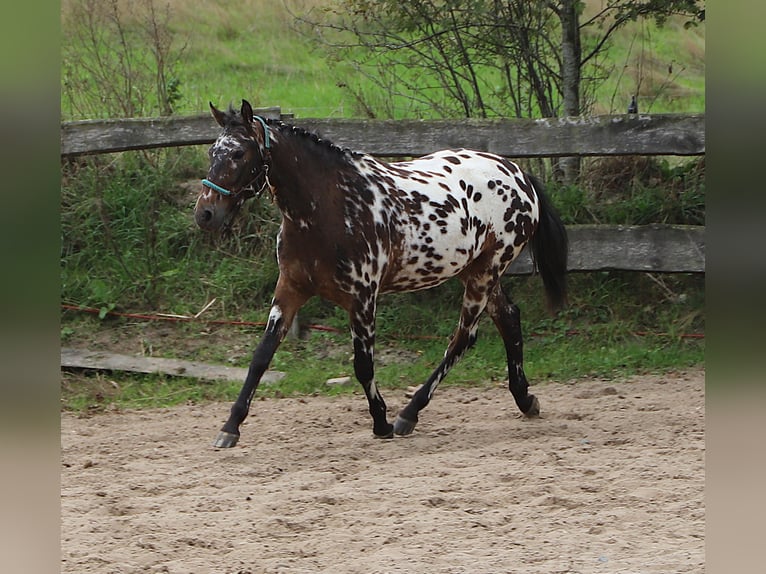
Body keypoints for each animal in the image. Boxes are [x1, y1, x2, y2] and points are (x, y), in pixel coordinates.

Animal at [195, 100, 568, 448]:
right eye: (213, 151)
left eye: (239, 153)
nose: (205, 214)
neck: (330, 207)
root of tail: (518, 174)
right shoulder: (290, 289)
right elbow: (261, 356)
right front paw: (230, 428)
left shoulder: (362, 298)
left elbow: (363, 365)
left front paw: (381, 422)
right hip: (473, 271)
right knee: (509, 318)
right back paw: (525, 399)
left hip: (486, 272)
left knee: (463, 338)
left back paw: (409, 414)